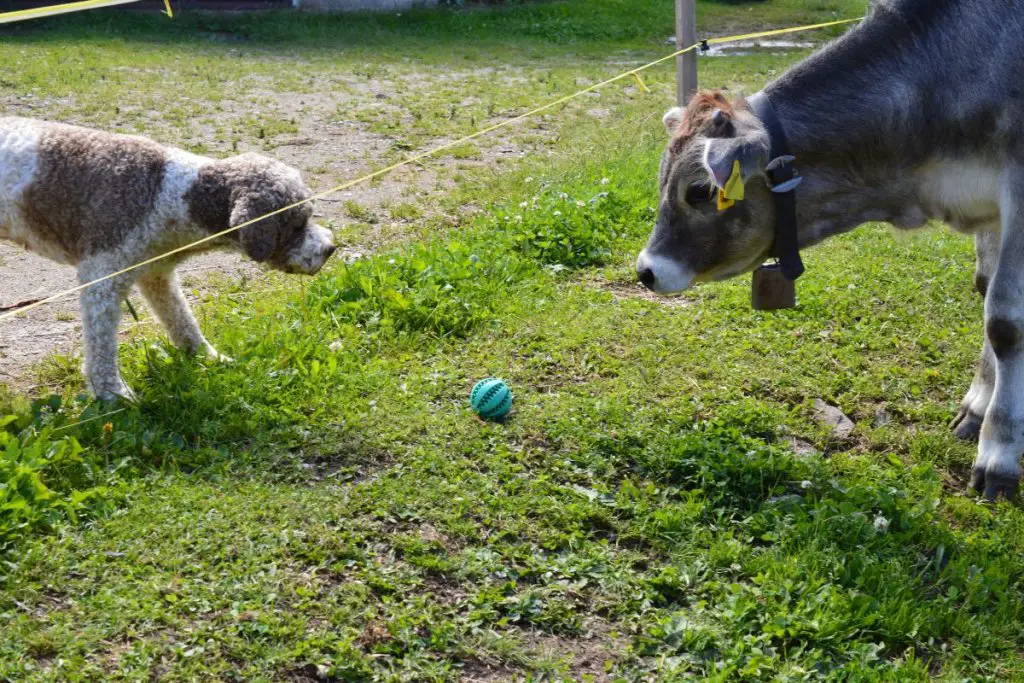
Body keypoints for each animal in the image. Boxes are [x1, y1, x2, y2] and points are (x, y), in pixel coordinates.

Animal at [634, 1, 1024, 501]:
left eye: (699, 191)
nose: (646, 270)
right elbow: (985, 292)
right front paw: (976, 406)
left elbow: (1005, 320)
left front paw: (998, 454)